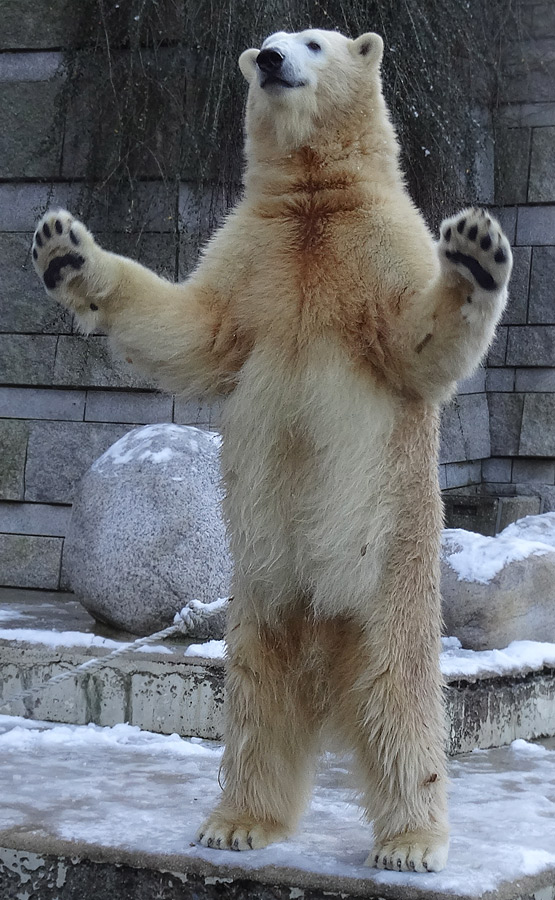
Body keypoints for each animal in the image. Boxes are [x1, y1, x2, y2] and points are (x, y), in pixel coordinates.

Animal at [32, 28, 512, 872]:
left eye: (313, 42)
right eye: (264, 43)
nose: (267, 60)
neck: (314, 203)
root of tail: (326, 655)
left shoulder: (379, 242)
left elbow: (413, 339)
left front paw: (475, 252)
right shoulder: (254, 252)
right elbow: (191, 329)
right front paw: (64, 253)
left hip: (388, 582)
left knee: (399, 701)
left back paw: (410, 841)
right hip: (258, 597)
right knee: (257, 704)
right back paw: (237, 821)